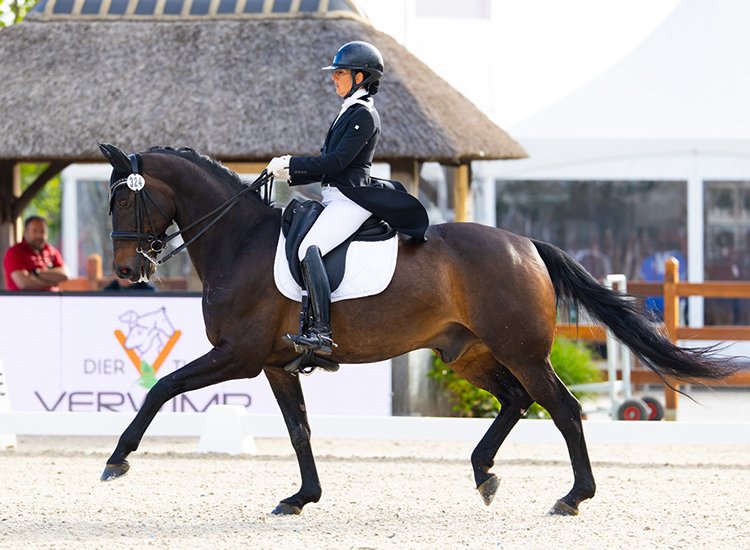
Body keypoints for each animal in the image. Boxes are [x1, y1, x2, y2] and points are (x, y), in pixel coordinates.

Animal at [98, 143, 741, 516]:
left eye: (123, 203)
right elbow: (299, 430)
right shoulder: (276, 364)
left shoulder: (239, 354)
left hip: (520, 350)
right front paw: (302, 498)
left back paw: (572, 497)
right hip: (467, 353)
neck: (241, 242)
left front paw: (117, 460)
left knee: (561, 407)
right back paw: (484, 473)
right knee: (516, 401)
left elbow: (160, 389)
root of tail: (527, 243)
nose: (128, 272)